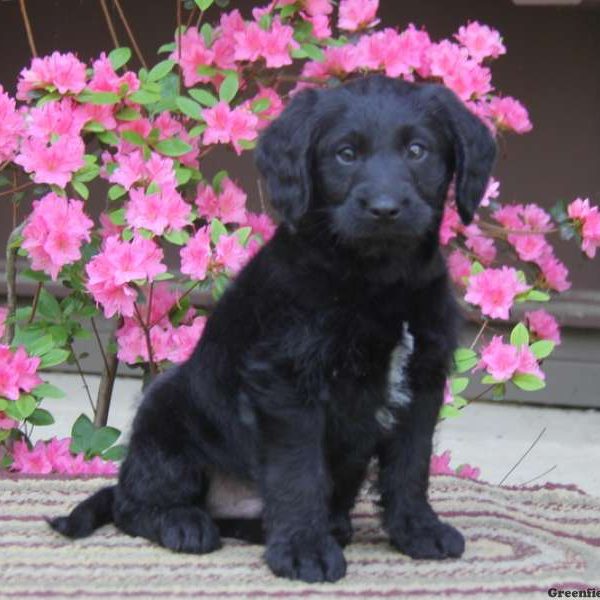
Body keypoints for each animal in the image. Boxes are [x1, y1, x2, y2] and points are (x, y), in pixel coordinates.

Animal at [50, 75, 492, 580]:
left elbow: (411, 466)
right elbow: (299, 472)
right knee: (131, 503)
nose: (384, 209)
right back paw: (183, 523)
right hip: (165, 413)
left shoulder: (422, 381)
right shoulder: (287, 382)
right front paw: (304, 549)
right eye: (345, 154)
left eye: (418, 150)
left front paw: (417, 529)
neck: (378, 281)